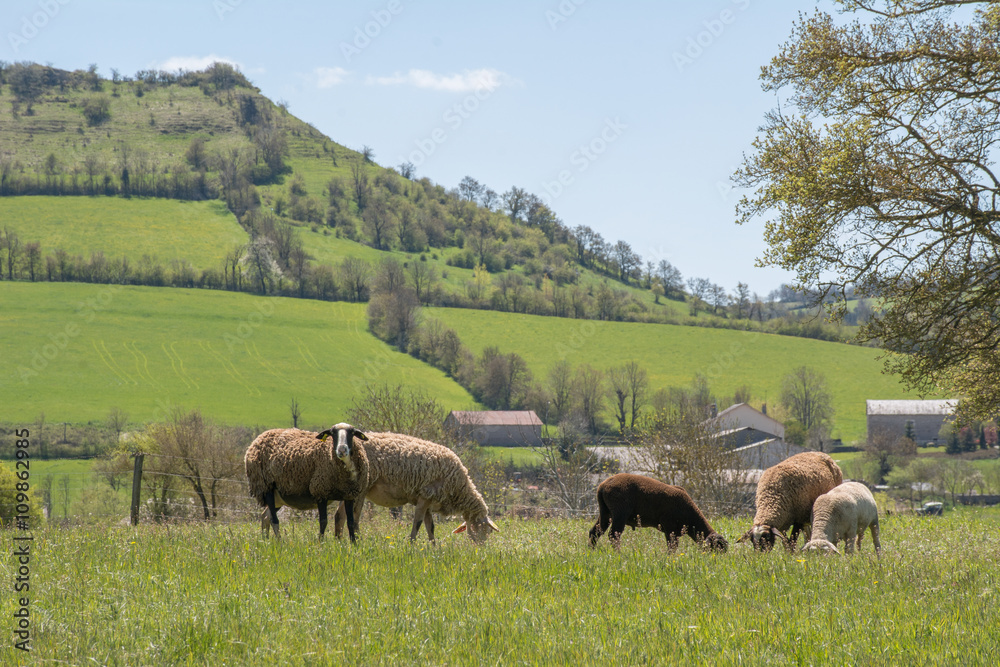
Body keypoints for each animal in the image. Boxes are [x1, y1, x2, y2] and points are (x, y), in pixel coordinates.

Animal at [243, 422, 372, 544]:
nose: (341, 450)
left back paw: (265, 540)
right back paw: (279, 542)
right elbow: (323, 521)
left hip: (278, 496)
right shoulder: (320, 491)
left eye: (352, 432)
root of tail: (258, 439)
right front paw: (321, 543)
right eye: (332, 433)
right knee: (274, 520)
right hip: (266, 486)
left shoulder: (349, 495)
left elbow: (350, 522)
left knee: (265, 516)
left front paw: (354, 544)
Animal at [336, 430, 504, 544]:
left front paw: (434, 548)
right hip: (361, 489)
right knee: (354, 518)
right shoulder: (425, 496)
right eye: (485, 529)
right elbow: (417, 523)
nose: (481, 548)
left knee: (339, 515)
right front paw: (411, 544)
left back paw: (338, 542)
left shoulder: (430, 500)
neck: (458, 487)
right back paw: (357, 542)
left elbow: (431, 527)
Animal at [584, 472, 728, 552]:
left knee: (595, 532)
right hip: (620, 513)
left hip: (605, 512)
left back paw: (591, 551)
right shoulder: (669, 527)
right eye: (715, 548)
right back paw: (619, 554)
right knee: (614, 535)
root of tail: (603, 486)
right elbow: (672, 546)